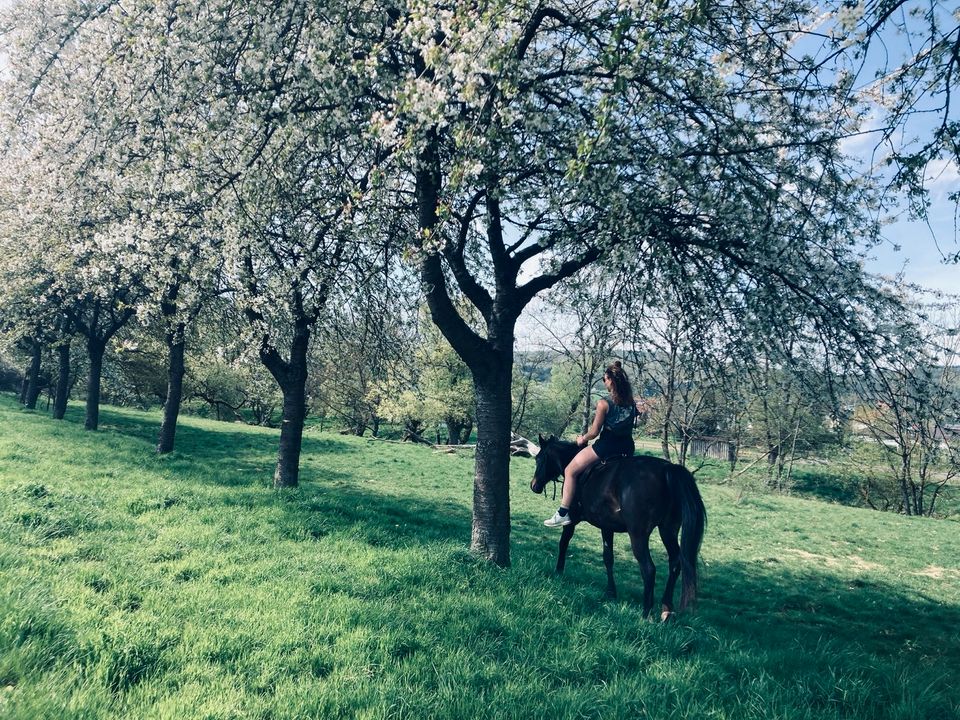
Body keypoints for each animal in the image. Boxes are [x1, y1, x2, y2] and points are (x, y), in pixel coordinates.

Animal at [528, 434, 708, 620]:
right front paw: (611, 592)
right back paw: (666, 609)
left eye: (539, 458)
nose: (534, 486)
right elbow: (608, 557)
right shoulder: (607, 526)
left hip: (638, 534)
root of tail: (667, 469)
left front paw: (558, 572)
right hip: (668, 530)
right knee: (675, 563)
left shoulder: (572, 520)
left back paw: (646, 613)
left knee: (649, 569)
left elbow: (563, 543)